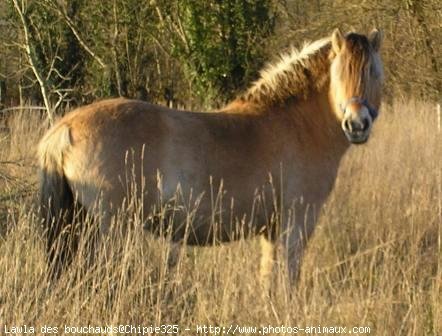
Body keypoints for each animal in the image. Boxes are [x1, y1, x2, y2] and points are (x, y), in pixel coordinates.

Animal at [38, 28, 384, 280]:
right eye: (340, 73)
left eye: (374, 73)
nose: (357, 124)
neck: (295, 123)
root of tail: (66, 128)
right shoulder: (296, 224)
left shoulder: (271, 231)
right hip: (112, 229)